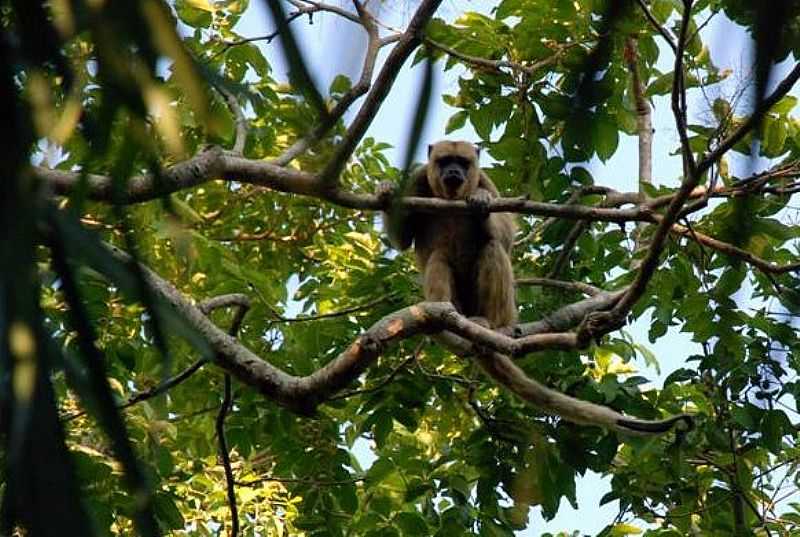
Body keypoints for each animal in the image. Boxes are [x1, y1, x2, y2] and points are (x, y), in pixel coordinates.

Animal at [378, 140, 516, 326]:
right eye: (445, 161)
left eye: (462, 162)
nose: (453, 171)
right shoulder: (418, 177)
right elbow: (402, 239)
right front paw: (386, 190)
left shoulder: (484, 179)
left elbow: (507, 235)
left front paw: (481, 196)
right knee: (438, 256)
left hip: (507, 313)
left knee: (493, 247)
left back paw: (487, 321)